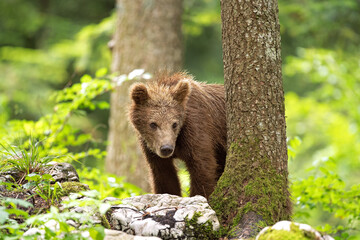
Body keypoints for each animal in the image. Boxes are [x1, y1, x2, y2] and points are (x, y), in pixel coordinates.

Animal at [129, 71, 225, 199]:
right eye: (153, 124)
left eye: (174, 124)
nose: (166, 148)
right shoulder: (151, 148)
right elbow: (164, 176)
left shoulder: (198, 130)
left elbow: (203, 169)